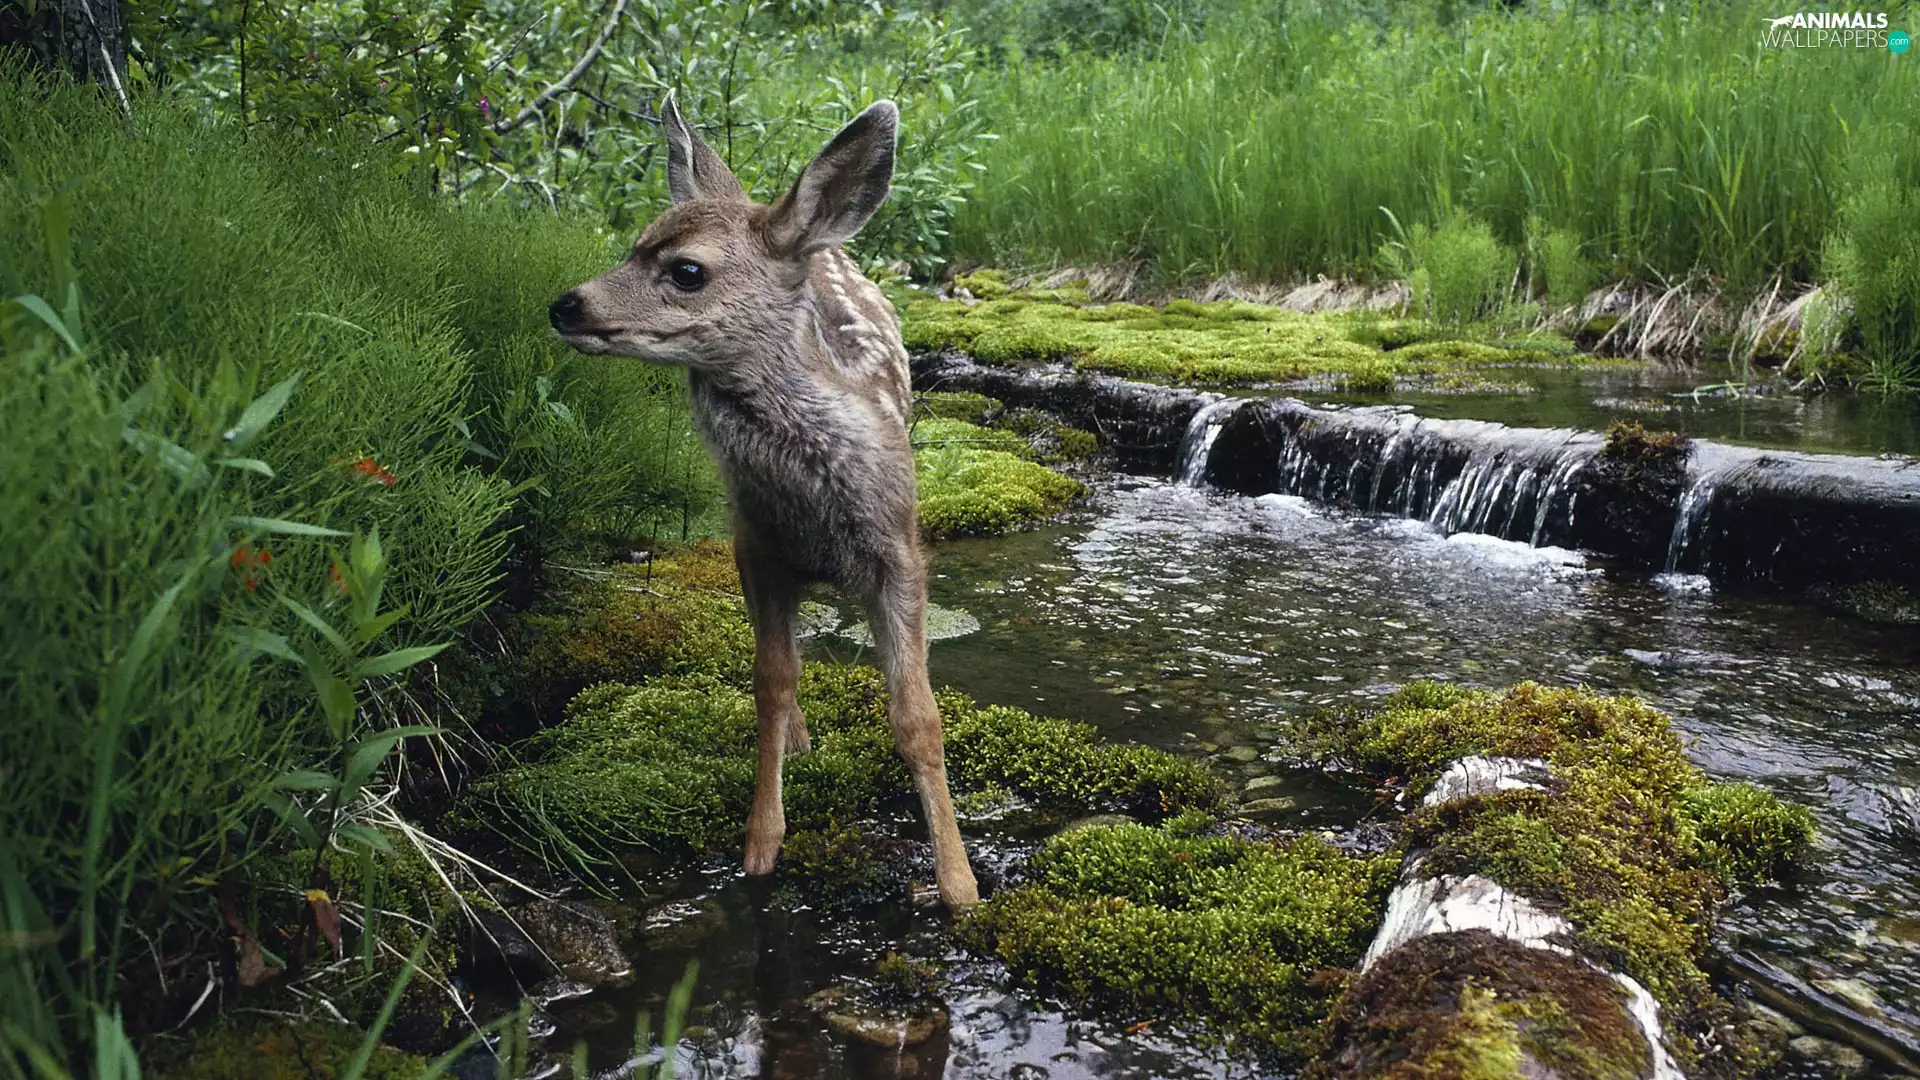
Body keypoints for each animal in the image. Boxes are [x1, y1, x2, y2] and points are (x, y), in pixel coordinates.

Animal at [547, 91, 980, 909]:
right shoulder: (756, 545)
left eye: (685, 270)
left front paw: (958, 882)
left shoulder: (899, 549)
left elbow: (918, 717)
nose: (565, 304)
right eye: (633, 243)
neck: (811, 501)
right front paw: (760, 843)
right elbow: (770, 682)